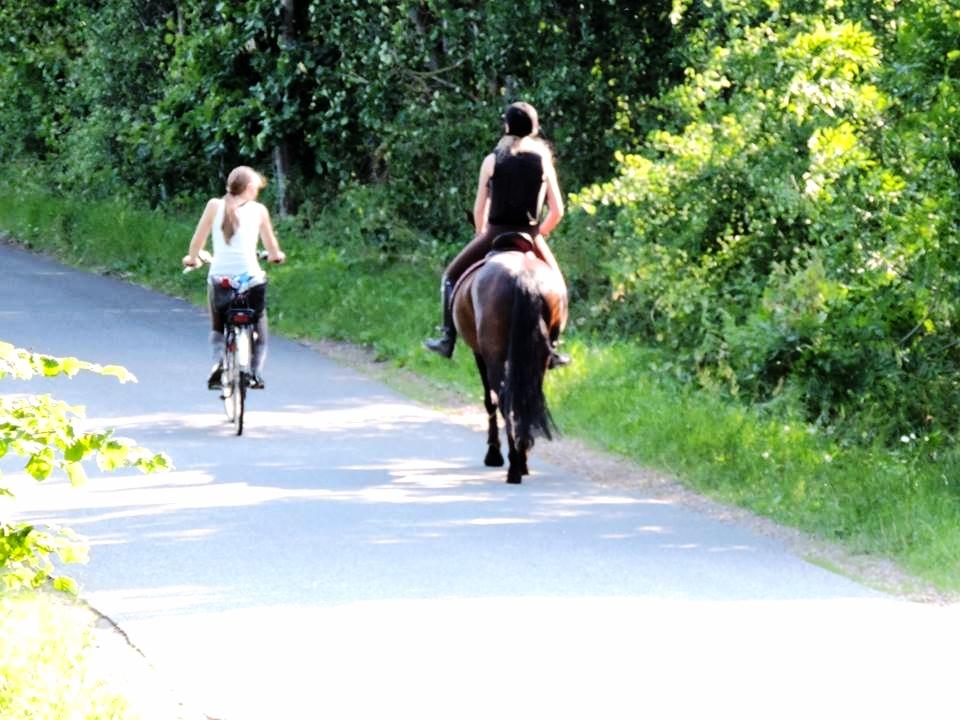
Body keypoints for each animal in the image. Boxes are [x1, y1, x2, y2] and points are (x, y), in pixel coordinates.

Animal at [452, 236, 568, 484]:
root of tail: (524, 278)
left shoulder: (480, 354)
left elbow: (489, 400)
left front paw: (493, 453)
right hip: (538, 359)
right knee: (527, 397)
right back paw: (522, 458)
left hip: (494, 356)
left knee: (505, 399)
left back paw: (513, 465)